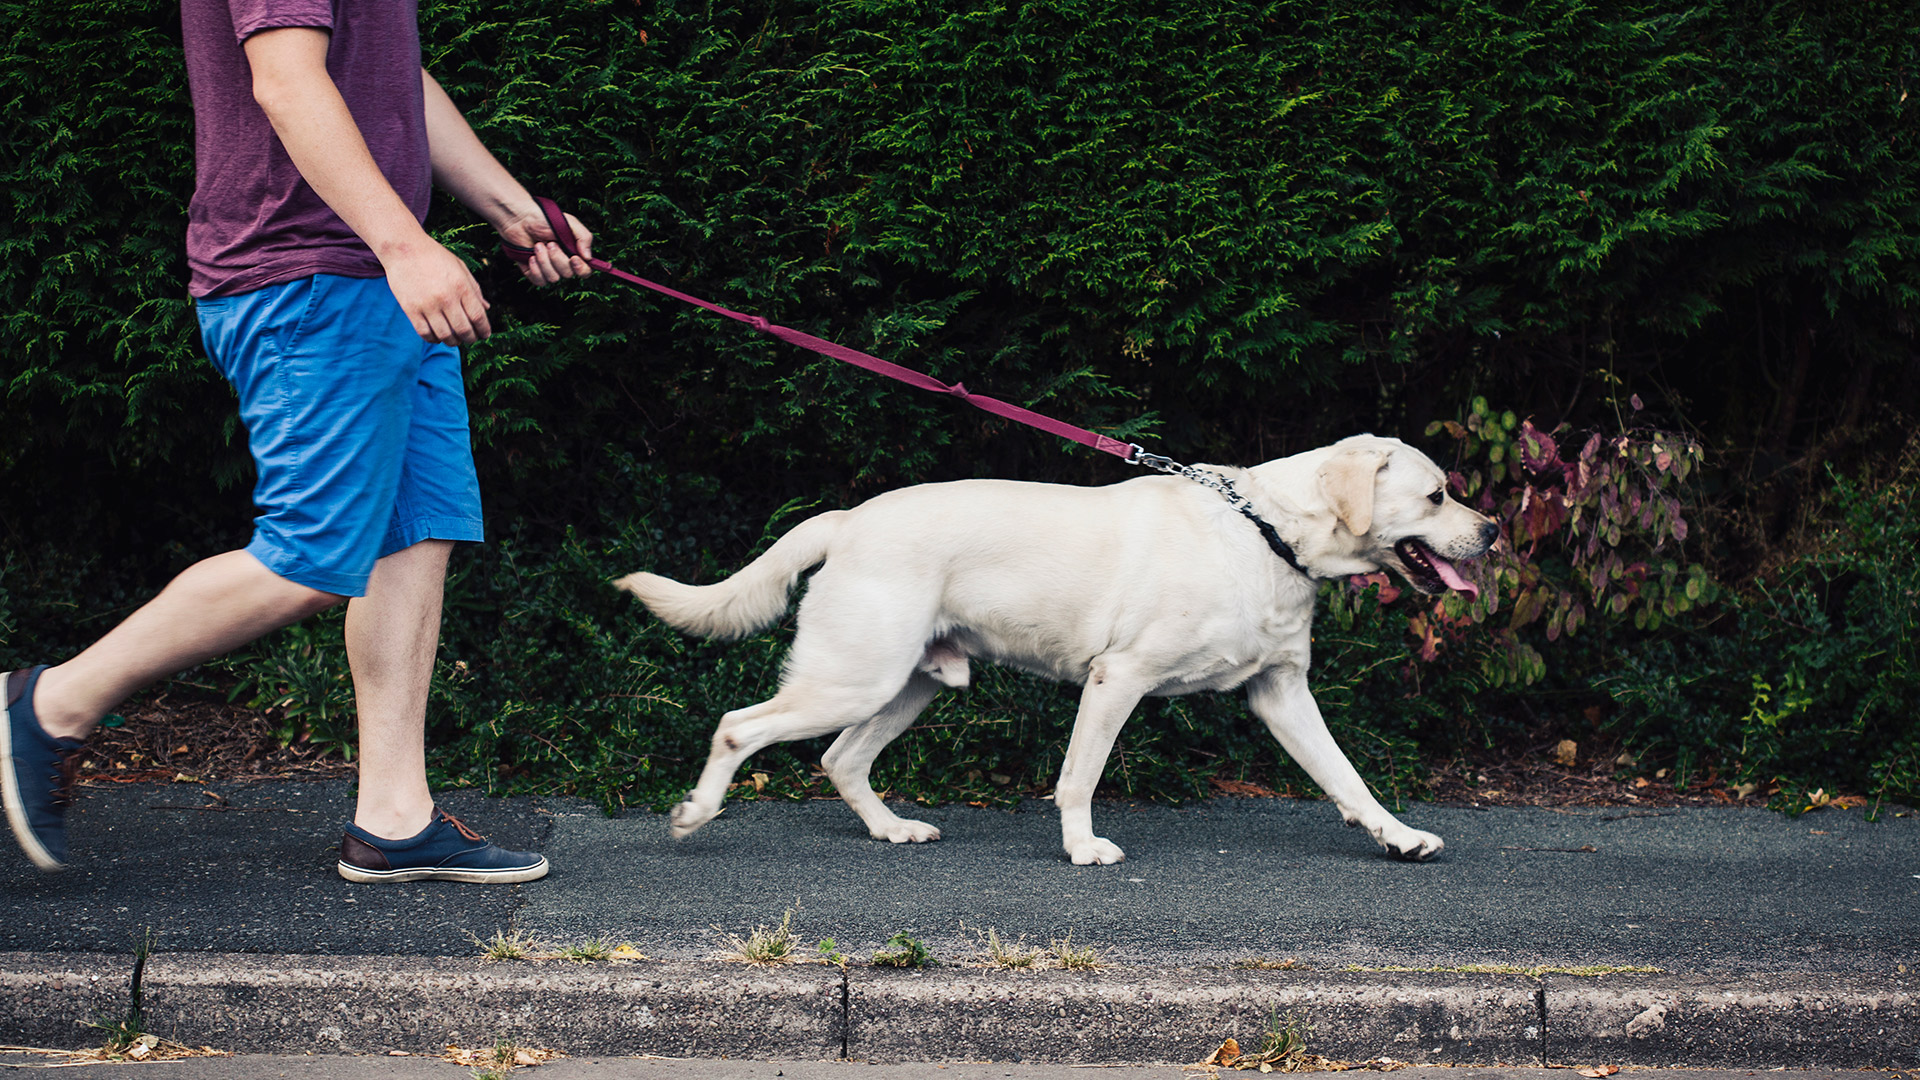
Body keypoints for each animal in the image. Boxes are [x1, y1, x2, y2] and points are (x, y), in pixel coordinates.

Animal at [622, 432, 1489, 860]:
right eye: (1437, 494)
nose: (1491, 531)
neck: (1266, 529)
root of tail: (847, 518)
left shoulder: (1282, 694)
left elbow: (1349, 780)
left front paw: (1399, 837)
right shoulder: (1118, 678)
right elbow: (1079, 778)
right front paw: (1081, 848)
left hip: (907, 685)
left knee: (841, 759)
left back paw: (892, 830)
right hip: (853, 677)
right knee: (738, 726)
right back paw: (694, 816)